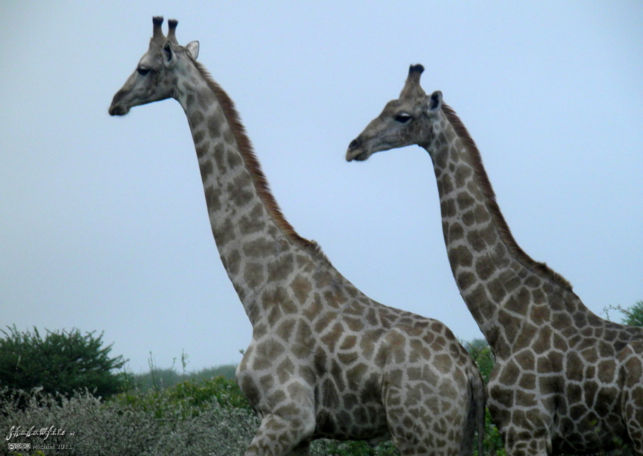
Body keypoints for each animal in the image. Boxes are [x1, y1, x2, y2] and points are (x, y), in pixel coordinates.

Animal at [110, 18, 486, 456]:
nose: (115, 102)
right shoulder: (302, 431)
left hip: (422, 434)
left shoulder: (287, 415)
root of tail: (469, 371)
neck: (256, 290)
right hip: (455, 437)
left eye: (143, 68)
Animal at [348, 65, 643, 456]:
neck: (502, 319)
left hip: (638, 426)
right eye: (385, 106)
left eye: (403, 116)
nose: (354, 146)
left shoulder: (526, 428)